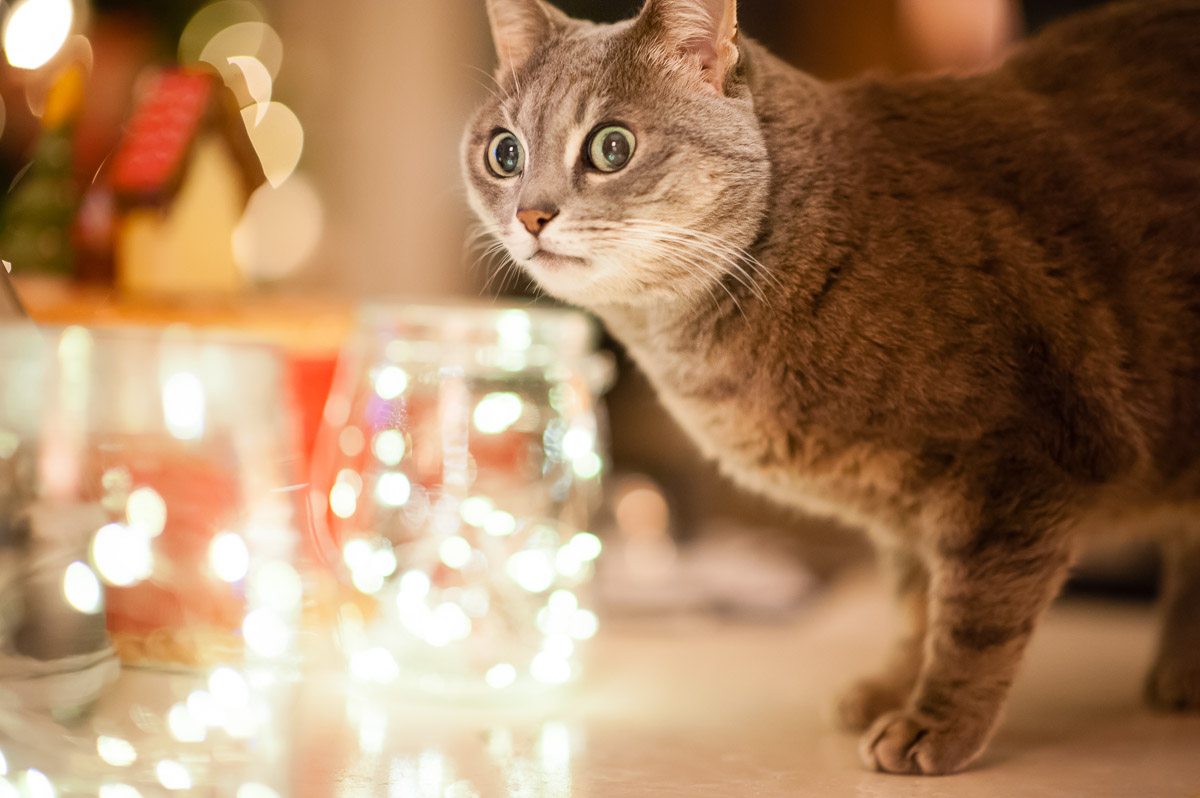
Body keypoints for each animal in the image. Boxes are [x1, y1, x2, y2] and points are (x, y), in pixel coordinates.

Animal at [463, 0, 1200, 772]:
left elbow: (973, 620)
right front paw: (891, 690)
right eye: (505, 153)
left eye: (611, 147)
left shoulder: (1018, 467)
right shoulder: (906, 511)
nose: (531, 215)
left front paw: (936, 723)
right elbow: (916, 606)